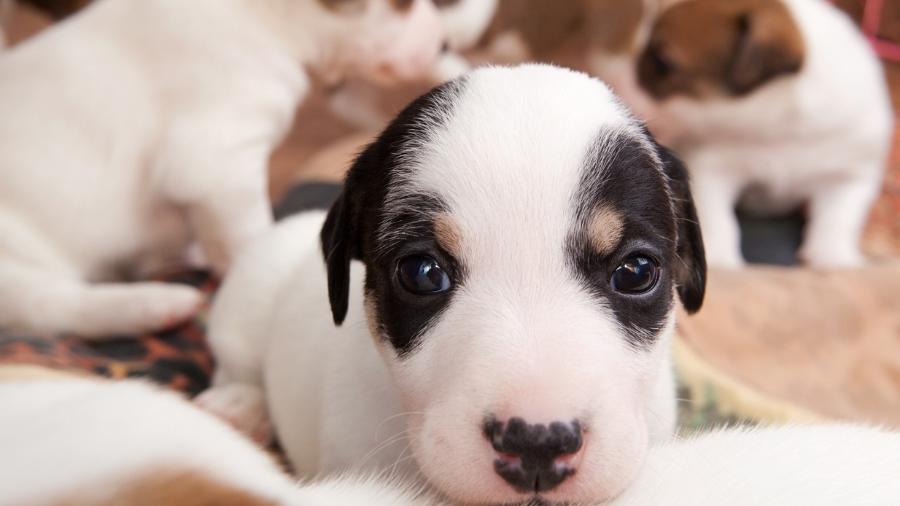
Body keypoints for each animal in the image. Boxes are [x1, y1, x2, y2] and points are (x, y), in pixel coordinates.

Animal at [0, 0, 446, 340]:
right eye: (402, 3)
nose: (444, 42)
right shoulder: (220, 165)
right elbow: (251, 235)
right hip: (19, 262)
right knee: (52, 305)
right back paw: (156, 304)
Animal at [624, 0, 892, 268]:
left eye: (662, 64)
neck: (782, 127)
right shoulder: (713, 169)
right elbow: (720, 218)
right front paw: (722, 257)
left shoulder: (849, 175)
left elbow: (838, 218)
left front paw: (833, 257)